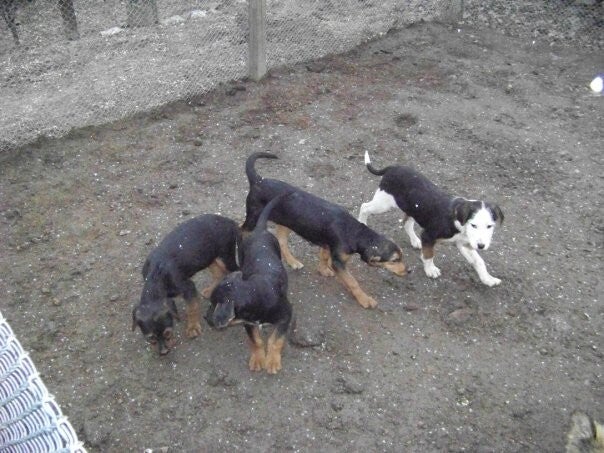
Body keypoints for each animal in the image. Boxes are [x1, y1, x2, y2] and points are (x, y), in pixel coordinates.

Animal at [132, 214, 240, 355]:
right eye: (151, 339)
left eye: (168, 333)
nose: (164, 352)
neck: (156, 276)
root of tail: (230, 221)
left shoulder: (188, 287)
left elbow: (192, 308)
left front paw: (192, 328)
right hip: (208, 256)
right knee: (218, 272)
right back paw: (211, 290)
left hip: (226, 256)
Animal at [205, 194, 293, 374]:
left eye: (213, 304)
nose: (205, 318)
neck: (255, 292)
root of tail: (259, 229)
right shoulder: (248, 323)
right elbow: (256, 341)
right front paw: (258, 359)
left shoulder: (287, 315)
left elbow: (276, 340)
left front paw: (272, 361)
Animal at [240, 152, 407, 309]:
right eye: (394, 260)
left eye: (401, 257)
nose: (409, 271)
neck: (354, 231)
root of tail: (258, 180)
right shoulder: (339, 262)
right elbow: (352, 281)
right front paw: (365, 300)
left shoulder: (327, 244)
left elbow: (324, 257)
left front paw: (323, 270)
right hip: (254, 217)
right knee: (242, 231)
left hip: (286, 222)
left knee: (281, 240)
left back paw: (293, 262)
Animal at [358, 151, 504, 287]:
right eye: (473, 225)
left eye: (490, 226)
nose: (481, 246)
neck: (457, 220)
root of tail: (393, 168)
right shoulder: (428, 235)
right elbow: (429, 254)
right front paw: (431, 270)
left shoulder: (463, 243)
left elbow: (479, 261)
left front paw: (488, 279)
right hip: (384, 203)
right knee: (365, 207)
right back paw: (362, 223)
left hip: (413, 208)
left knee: (406, 223)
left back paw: (415, 241)